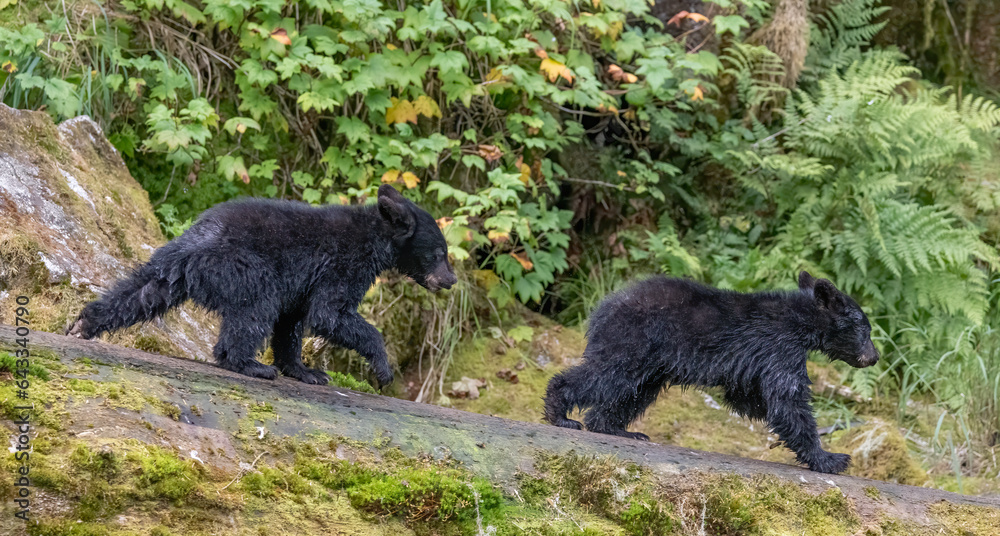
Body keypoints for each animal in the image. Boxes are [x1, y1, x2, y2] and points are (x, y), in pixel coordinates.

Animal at [67, 184, 456, 389]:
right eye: (438, 253)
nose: (451, 280)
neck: (377, 238)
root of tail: (197, 242)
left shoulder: (301, 284)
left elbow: (292, 323)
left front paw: (306, 371)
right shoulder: (343, 266)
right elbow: (329, 313)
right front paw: (383, 369)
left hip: (166, 269)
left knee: (141, 291)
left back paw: (84, 323)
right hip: (244, 269)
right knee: (256, 309)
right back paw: (249, 364)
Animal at [543, 271, 879, 474]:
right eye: (866, 330)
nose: (874, 357)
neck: (801, 321)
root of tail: (604, 306)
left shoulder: (761, 358)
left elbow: (752, 395)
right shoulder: (780, 347)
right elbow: (789, 400)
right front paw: (832, 458)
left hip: (651, 364)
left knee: (631, 392)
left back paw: (618, 428)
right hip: (632, 341)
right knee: (605, 374)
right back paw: (560, 414)